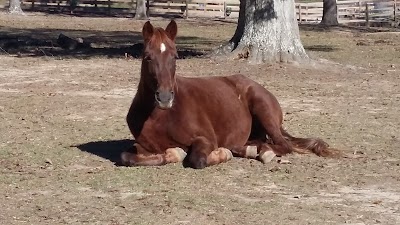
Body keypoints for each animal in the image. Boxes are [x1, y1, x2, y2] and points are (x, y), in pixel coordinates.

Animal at [120, 20, 340, 169]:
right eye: (148, 57)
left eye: (175, 56)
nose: (165, 98)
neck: (161, 117)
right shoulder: (143, 146)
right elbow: (127, 158)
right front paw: (173, 153)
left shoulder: (206, 139)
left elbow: (197, 159)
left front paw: (221, 154)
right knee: (261, 142)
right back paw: (249, 150)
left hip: (263, 111)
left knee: (282, 145)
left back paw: (261, 153)